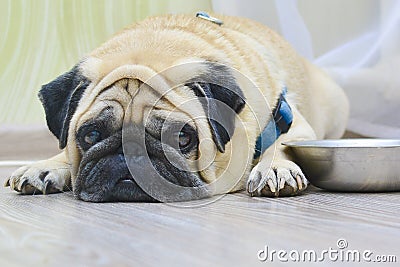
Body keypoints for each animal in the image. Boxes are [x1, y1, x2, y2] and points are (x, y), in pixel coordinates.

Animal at [3, 12, 346, 201]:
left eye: (182, 139)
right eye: (90, 136)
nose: (131, 153)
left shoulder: (293, 122)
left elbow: (284, 144)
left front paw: (275, 167)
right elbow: (64, 152)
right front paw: (46, 165)